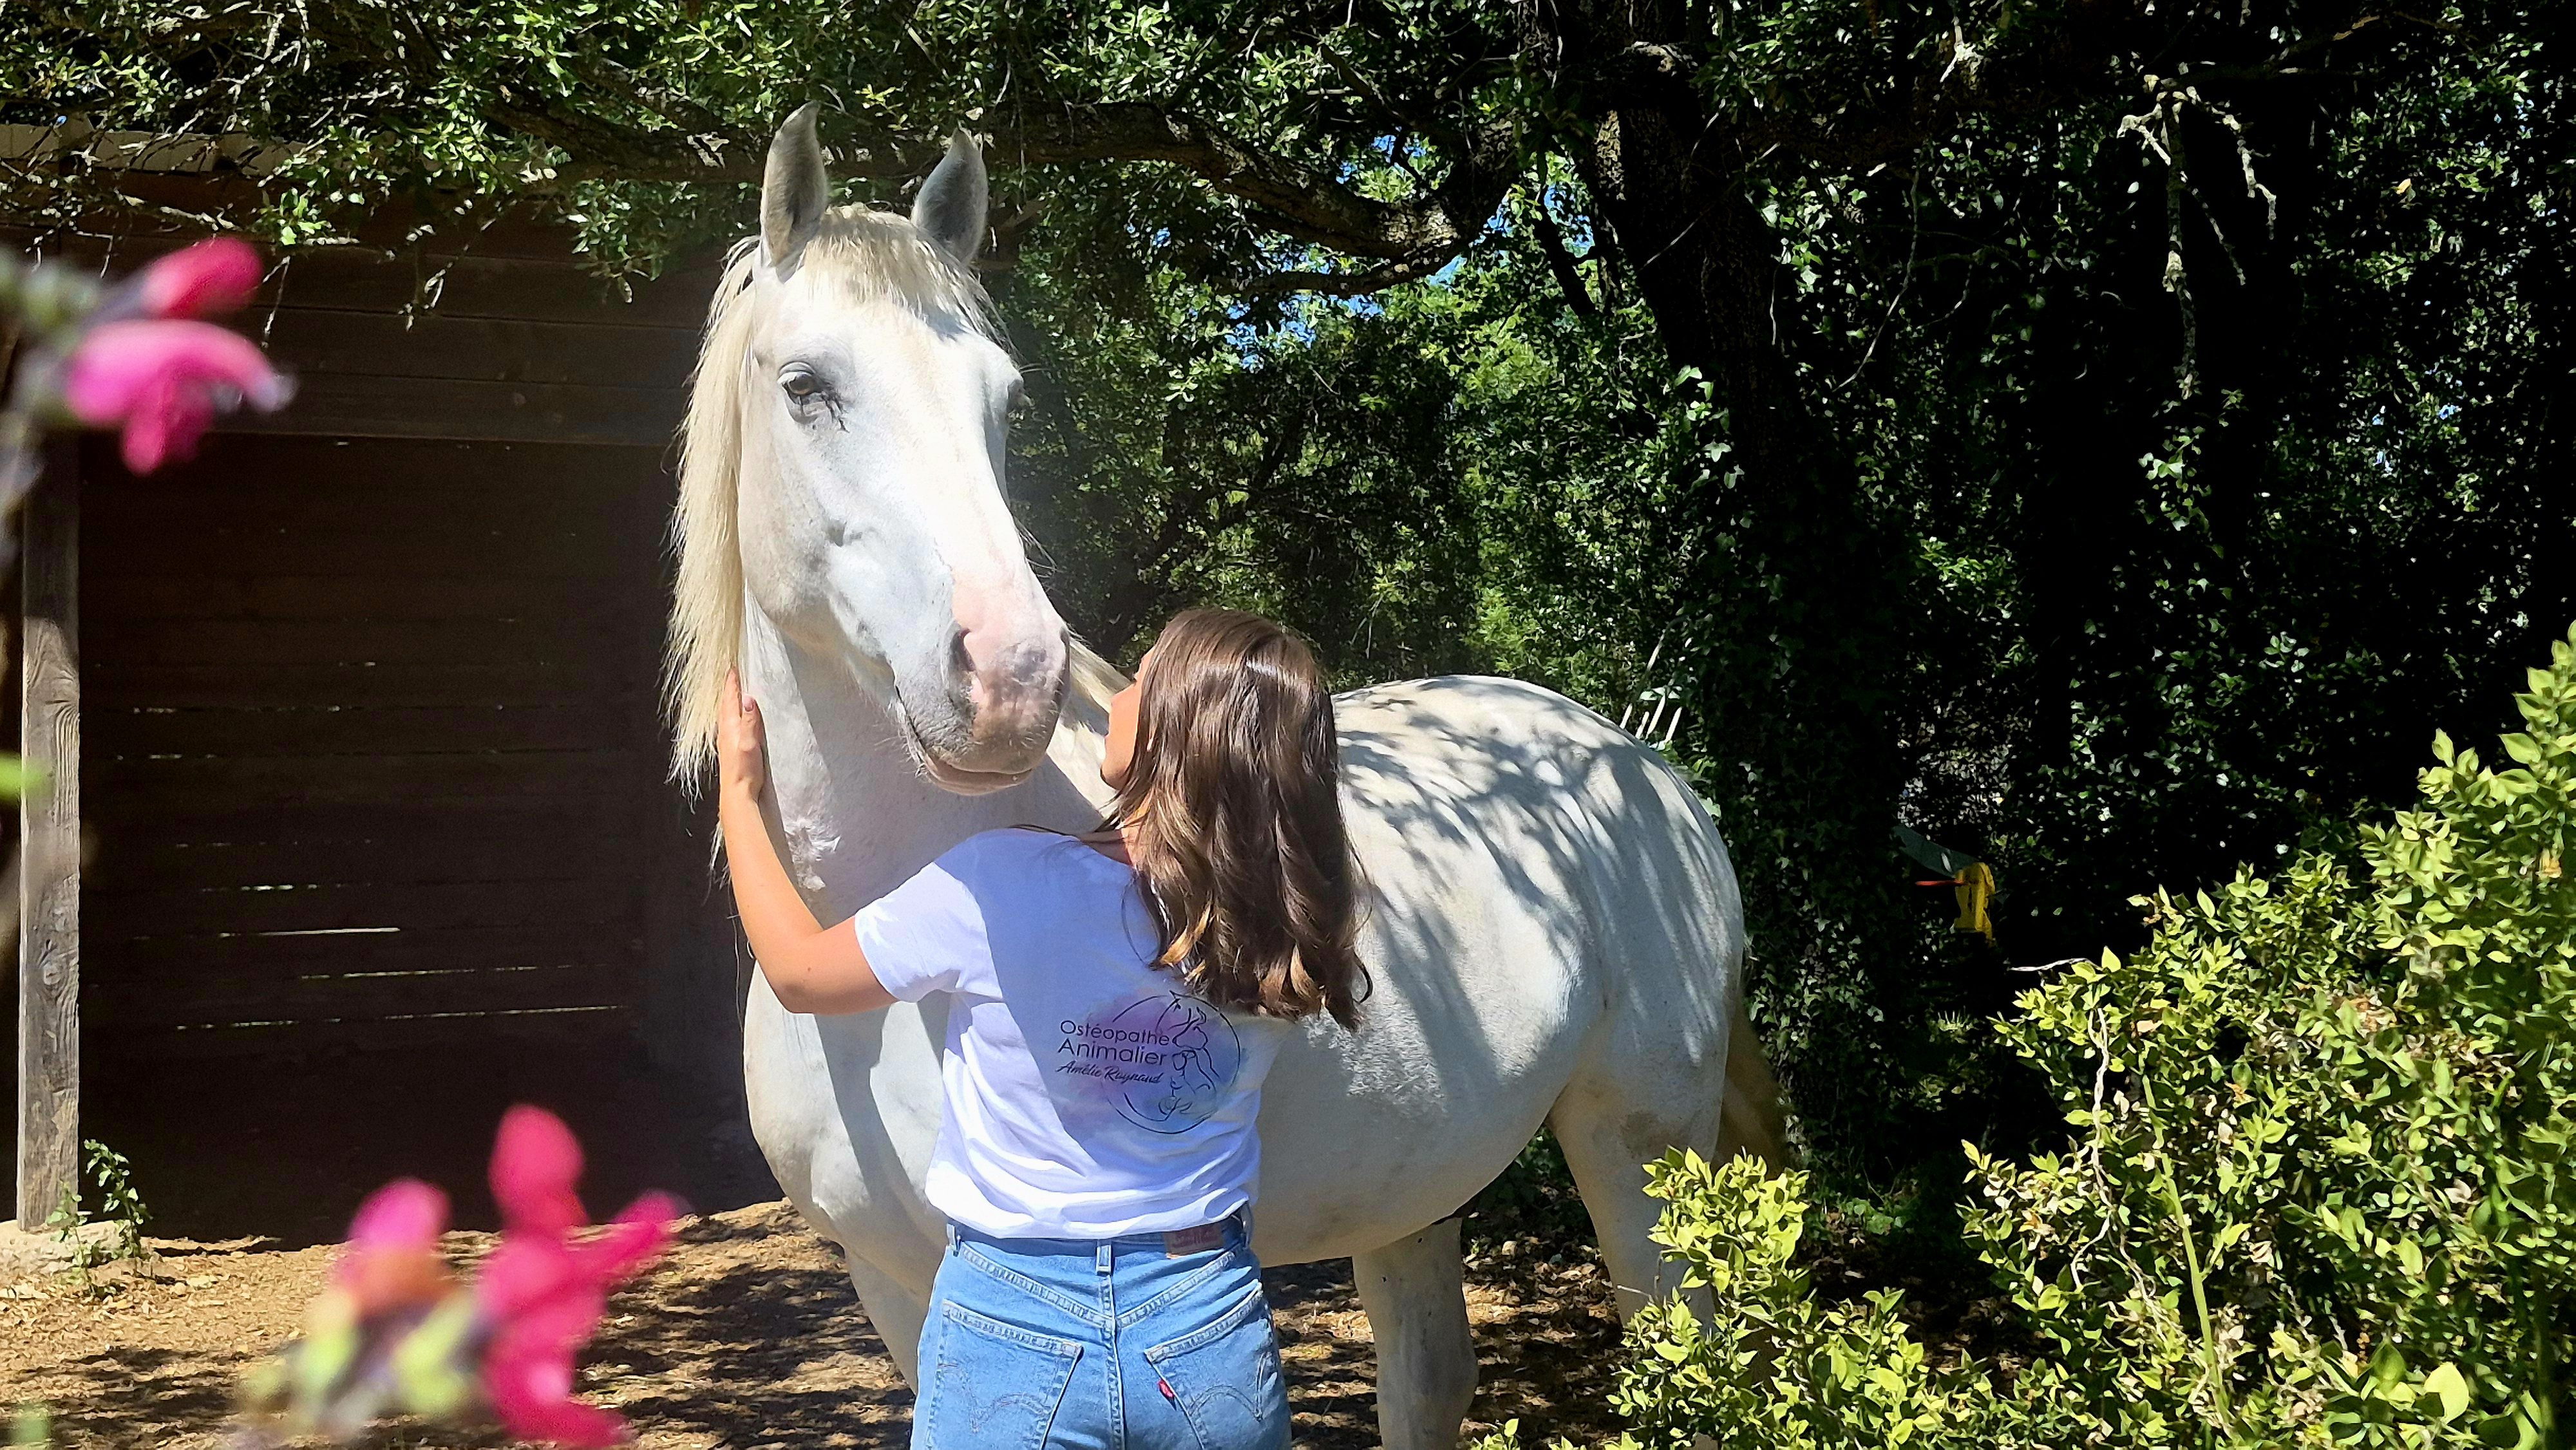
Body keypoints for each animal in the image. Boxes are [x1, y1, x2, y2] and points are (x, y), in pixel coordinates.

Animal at [668, 103, 1786, 1449]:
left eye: (1003, 402)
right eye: (807, 387)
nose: (1010, 672)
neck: (877, 936)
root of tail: (1643, 768)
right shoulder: (892, 1283)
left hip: (1644, 1154)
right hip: (1418, 1188)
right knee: (1431, 1378)